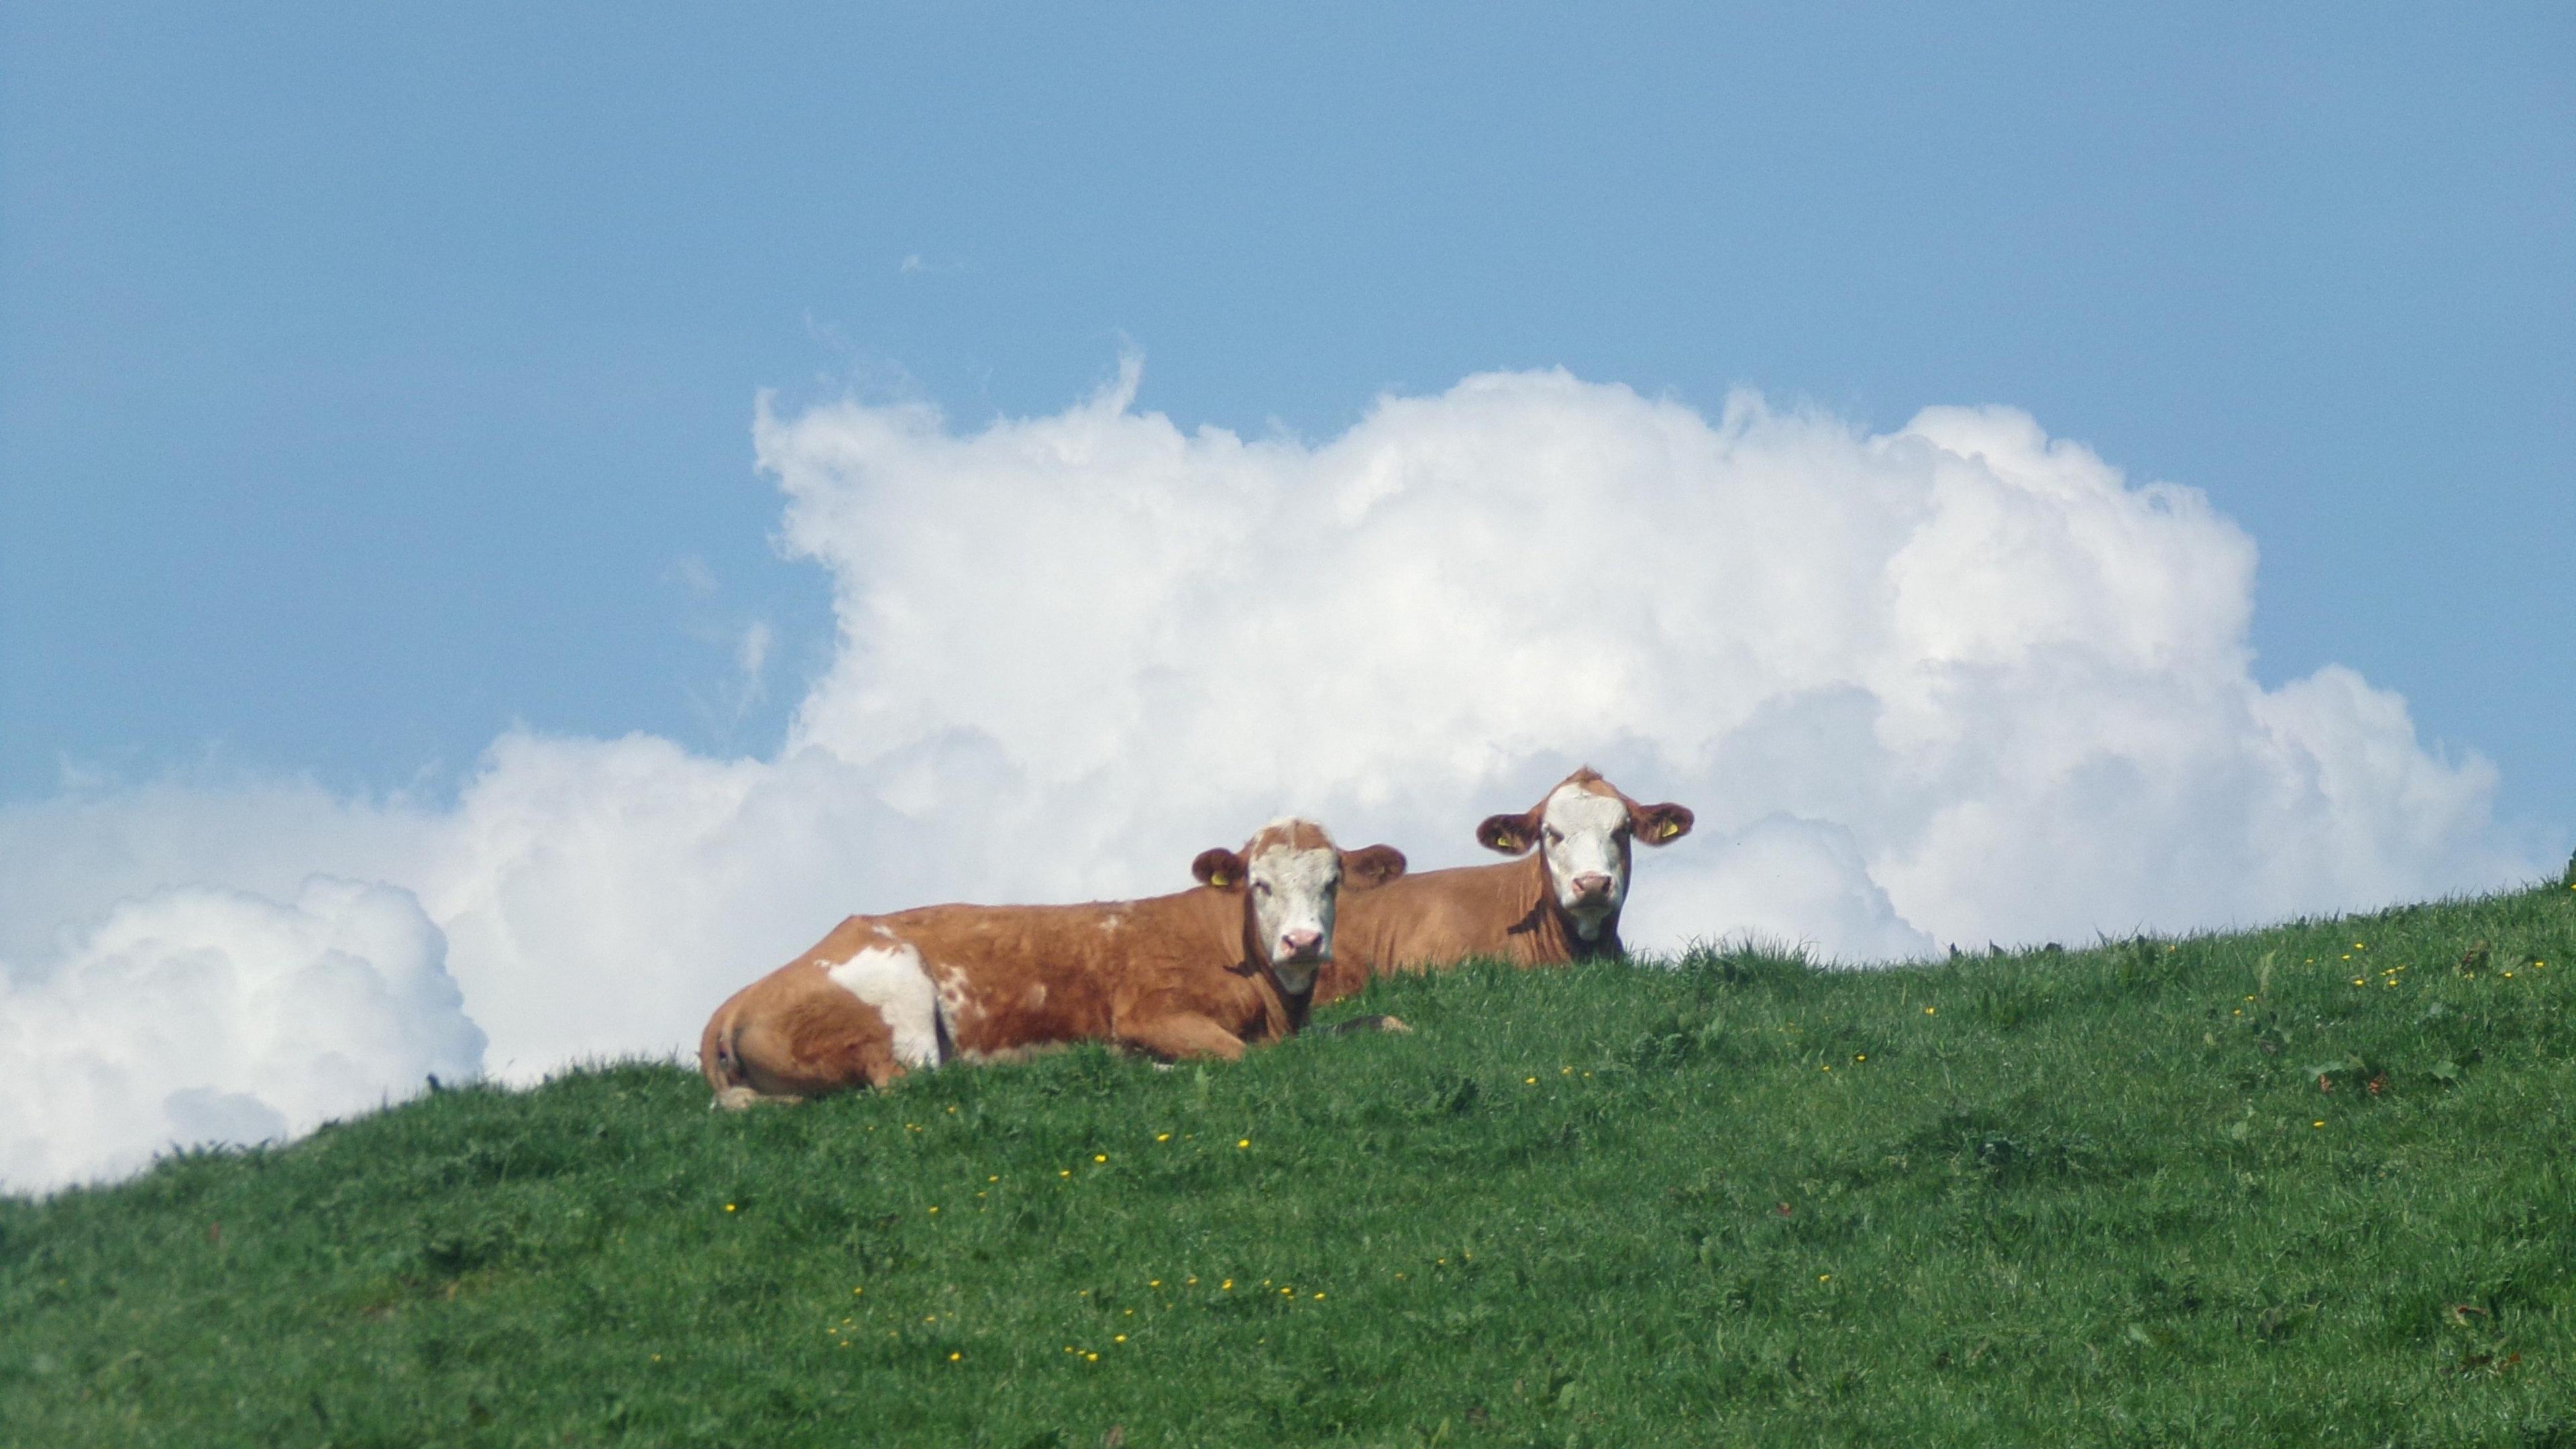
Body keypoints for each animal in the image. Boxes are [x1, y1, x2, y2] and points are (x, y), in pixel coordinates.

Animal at [700, 814, 1411, 1103]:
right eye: (1259, 884)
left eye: (1333, 882)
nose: (1303, 943)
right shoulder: (1153, 1014)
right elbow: (1237, 1058)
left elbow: (1390, 1023)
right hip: (899, 1001)